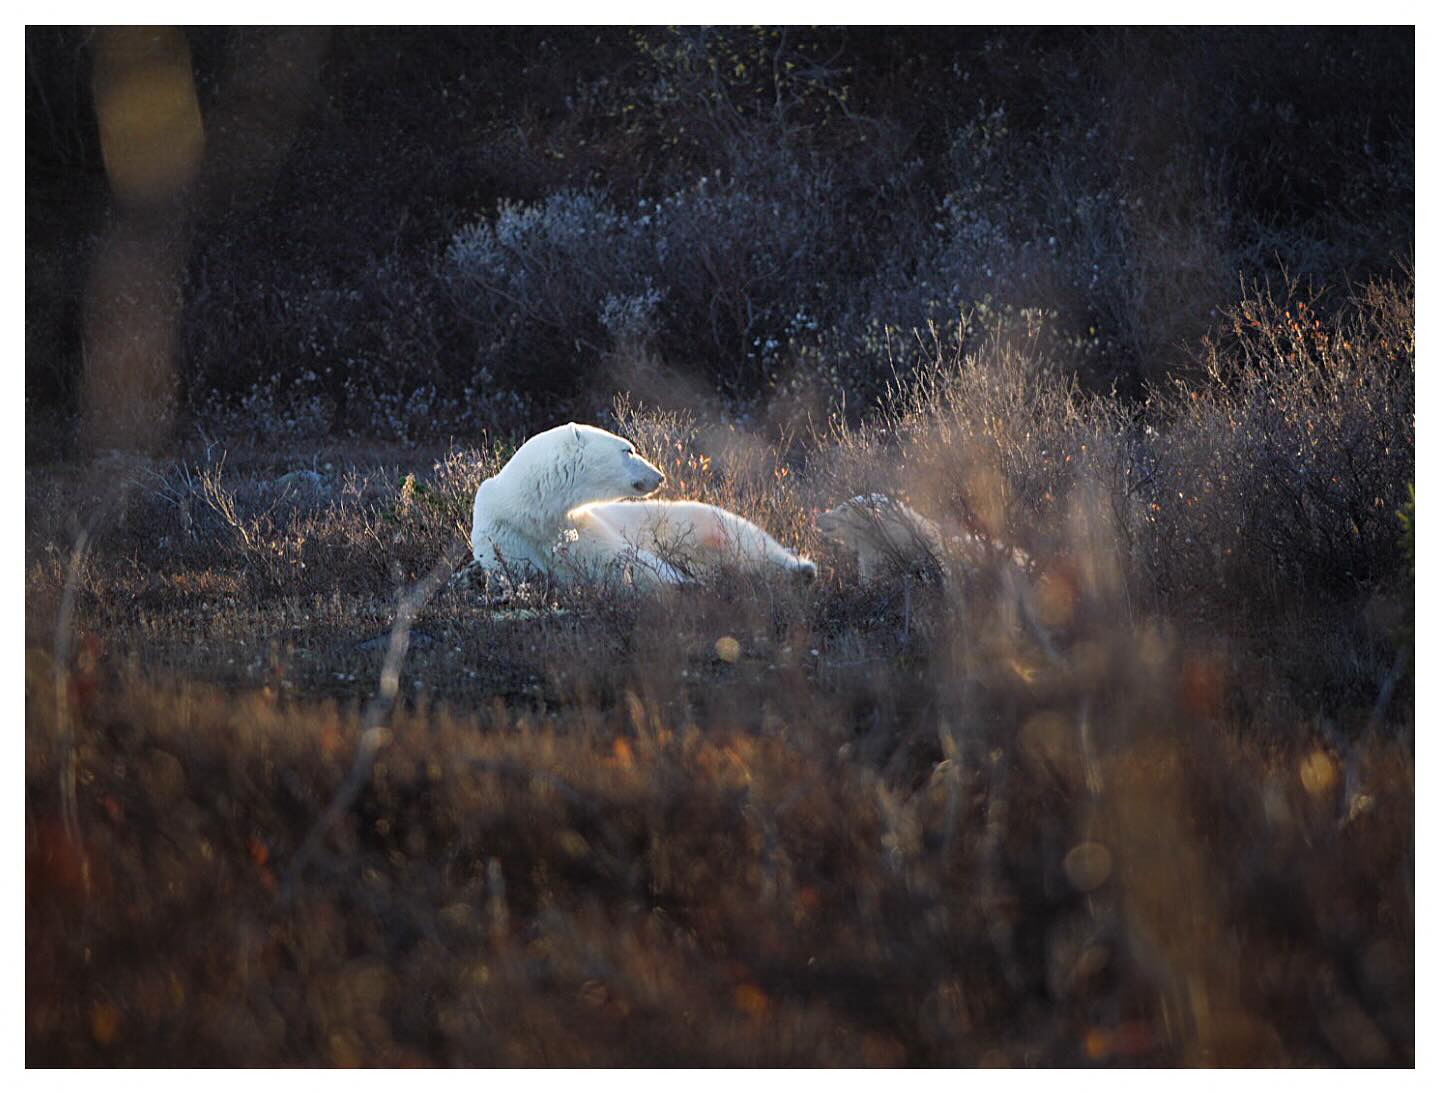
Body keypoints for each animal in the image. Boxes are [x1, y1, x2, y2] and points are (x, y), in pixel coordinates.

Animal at [467, 421, 814, 589]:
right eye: (629, 449)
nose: (659, 476)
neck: (535, 507)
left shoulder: (582, 524)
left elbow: (626, 557)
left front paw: (681, 583)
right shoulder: (509, 536)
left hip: (699, 520)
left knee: (747, 542)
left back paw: (801, 569)